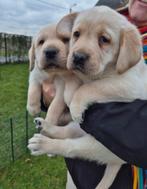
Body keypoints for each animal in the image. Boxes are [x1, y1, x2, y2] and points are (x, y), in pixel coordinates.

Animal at [27, 6, 147, 188]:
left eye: (104, 39)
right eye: (76, 34)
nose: (77, 57)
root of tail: (117, 162)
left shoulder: (128, 84)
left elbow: (89, 88)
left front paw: (75, 105)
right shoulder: (72, 74)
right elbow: (71, 81)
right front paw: (69, 92)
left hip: (98, 146)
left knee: (70, 147)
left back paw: (43, 144)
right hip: (77, 129)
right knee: (65, 132)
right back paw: (44, 126)